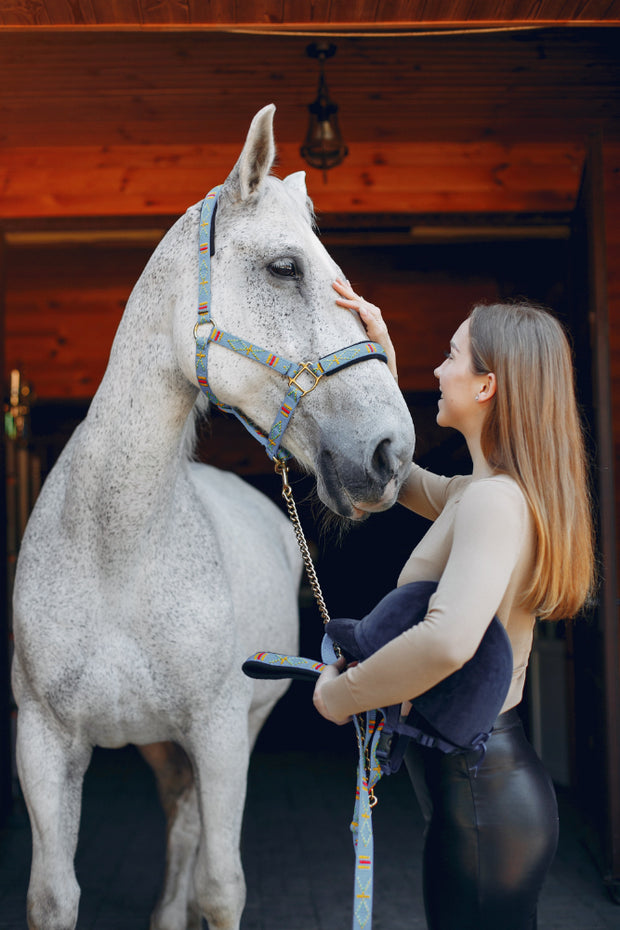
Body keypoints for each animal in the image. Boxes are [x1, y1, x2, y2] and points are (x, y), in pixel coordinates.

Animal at [11, 104, 415, 930]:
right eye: (284, 267)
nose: (393, 451)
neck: (117, 550)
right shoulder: (42, 741)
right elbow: (52, 894)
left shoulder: (222, 733)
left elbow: (220, 885)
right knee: (179, 817)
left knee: (191, 834)